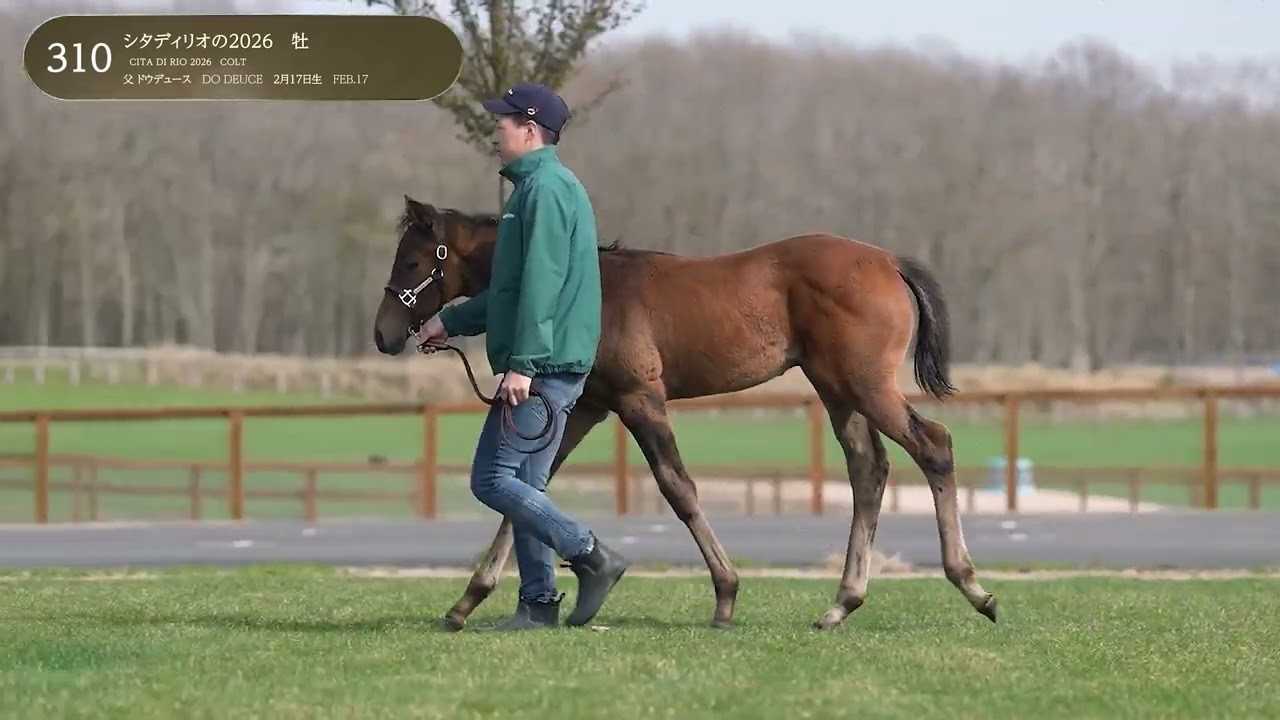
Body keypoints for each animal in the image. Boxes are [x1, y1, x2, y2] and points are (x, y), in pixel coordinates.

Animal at [372, 195, 997, 631]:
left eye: (413, 260)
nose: (383, 334)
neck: (584, 291)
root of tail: (888, 261)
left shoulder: (639, 399)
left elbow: (678, 488)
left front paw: (725, 593)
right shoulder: (586, 406)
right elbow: (529, 488)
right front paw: (467, 600)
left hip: (865, 387)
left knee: (933, 446)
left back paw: (972, 586)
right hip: (837, 390)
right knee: (869, 470)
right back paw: (841, 604)